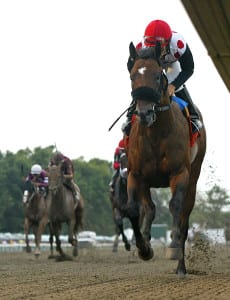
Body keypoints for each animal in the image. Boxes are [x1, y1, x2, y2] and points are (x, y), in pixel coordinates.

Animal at [126, 42, 207, 276]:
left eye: (156, 76)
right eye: (132, 76)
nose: (144, 113)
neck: (156, 133)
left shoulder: (179, 173)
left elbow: (175, 207)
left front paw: (173, 247)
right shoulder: (136, 175)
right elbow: (137, 209)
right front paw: (144, 247)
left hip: (193, 178)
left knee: (184, 217)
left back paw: (181, 267)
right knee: (150, 209)